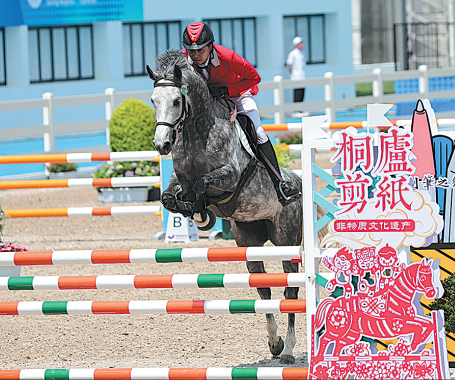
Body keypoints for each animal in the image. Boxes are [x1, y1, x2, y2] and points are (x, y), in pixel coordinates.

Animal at [148, 49, 308, 364]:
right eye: (153, 101)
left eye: (176, 101)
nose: (162, 145)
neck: (196, 130)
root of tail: (295, 179)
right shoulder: (178, 179)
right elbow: (170, 198)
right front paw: (196, 213)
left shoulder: (231, 176)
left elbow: (202, 184)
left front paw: (201, 210)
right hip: (249, 240)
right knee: (264, 289)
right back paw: (275, 344)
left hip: (286, 239)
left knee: (290, 290)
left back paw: (289, 350)